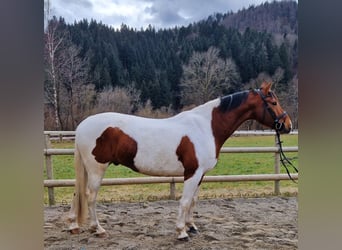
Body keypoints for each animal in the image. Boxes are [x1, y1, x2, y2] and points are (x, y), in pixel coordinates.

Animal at [67, 82, 292, 240]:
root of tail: (82, 125)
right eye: (273, 103)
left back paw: (73, 225)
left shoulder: (200, 174)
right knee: (90, 197)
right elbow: (184, 201)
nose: (288, 125)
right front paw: (181, 232)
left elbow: (193, 201)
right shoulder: (192, 172)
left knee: (78, 194)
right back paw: (98, 229)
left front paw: (191, 226)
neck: (206, 127)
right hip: (96, 169)